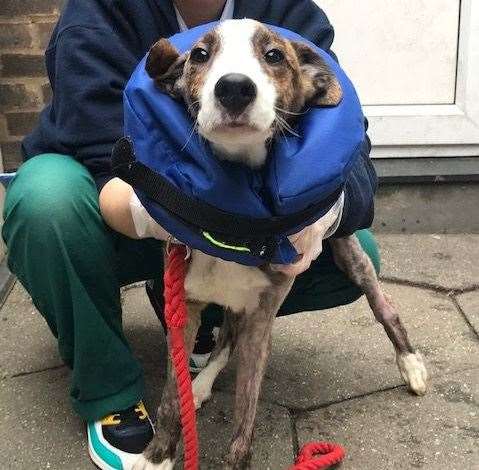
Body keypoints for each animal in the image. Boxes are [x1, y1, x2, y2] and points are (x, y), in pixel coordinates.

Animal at [133, 19, 430, 470]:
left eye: (273, 55)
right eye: (200, 55)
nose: (234, 88)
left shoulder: (262, 318)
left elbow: (246, 415)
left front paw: (234, 459)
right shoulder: (185, 304)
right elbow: (171, 394)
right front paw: (158, 454)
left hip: (351, 256)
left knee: (386, 309)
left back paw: (410, 364)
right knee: (225, 340)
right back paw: (200, 385)